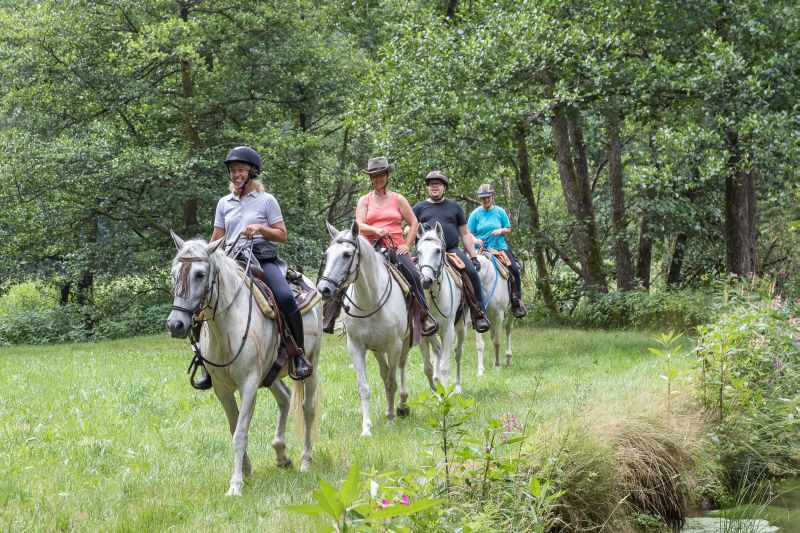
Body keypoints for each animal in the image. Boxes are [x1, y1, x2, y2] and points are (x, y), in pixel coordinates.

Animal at [166, 233, 322, 494]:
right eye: (174, 273)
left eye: (200, 274)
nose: (175, 324)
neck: (228, 326)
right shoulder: (222, 389)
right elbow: (234, 427)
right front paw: (246, 470)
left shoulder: (248, 384)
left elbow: (240, 433)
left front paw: (236, 484)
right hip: (270, 373)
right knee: (285, 398)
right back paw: (282, 455)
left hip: (311, 364)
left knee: (307, 409)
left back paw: (306, 461)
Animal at [316, 218, 412, 434]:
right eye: (327, 254)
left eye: (347, 254)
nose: (324, 289)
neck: (371, 301)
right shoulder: (356, 347)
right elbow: (364, 387)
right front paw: (366, 427)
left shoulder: (394, 346)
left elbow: (392, 383)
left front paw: (390, 420)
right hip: (377, 349)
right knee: (385, 372)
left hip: (406, 343)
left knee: (404, 367)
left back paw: (403, 405)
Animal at [416, 222, 466, 392]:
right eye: (419, 251)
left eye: (437, 250)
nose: (426, 280)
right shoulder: (424, 333)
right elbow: (427, 367)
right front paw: (435, 390)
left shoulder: (448, 330)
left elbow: (445, 366)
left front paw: (444, 394)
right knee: (437, 350)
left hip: (461, 328)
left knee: (457, 354)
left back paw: (457, 387)